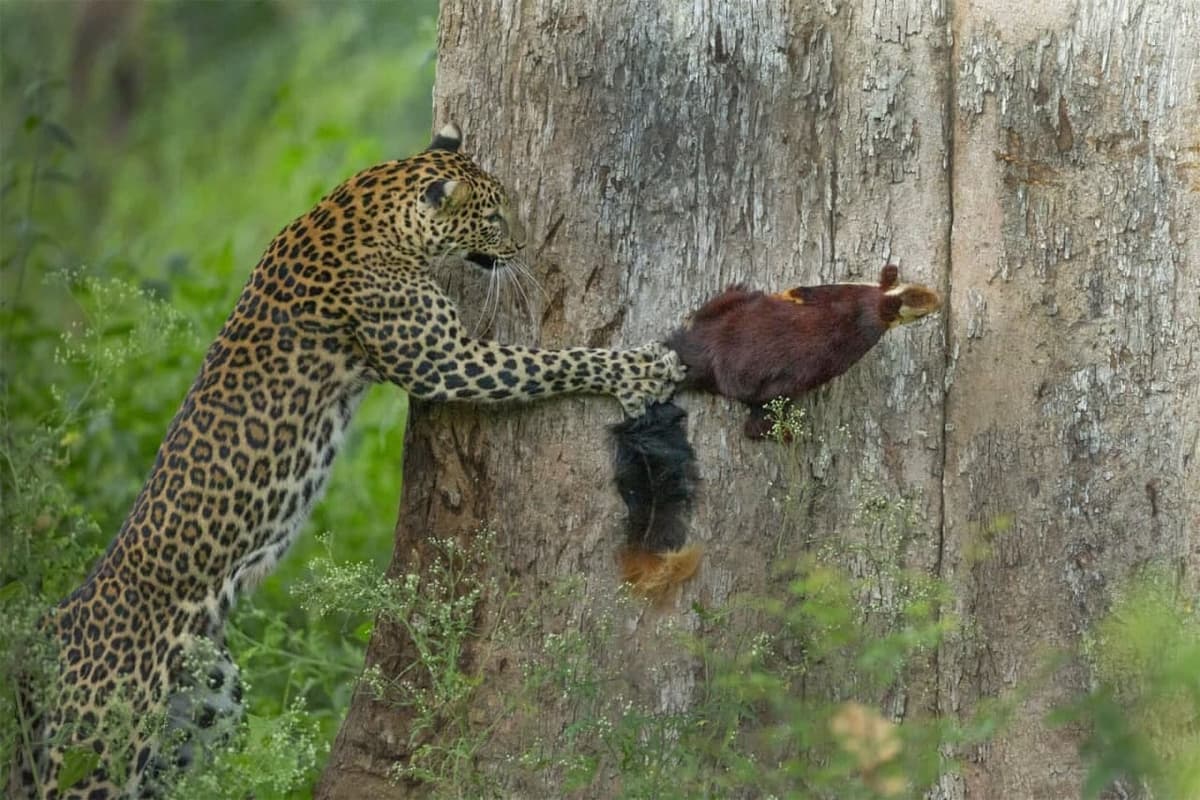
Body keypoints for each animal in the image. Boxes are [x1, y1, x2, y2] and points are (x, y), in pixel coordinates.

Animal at [12, 123, 684, 799]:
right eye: (495, 216)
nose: (521, 244)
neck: (376, 205)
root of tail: (48, 634)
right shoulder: (448, 361)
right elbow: (552, 362)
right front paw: (641, 369)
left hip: (207, 704)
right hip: (98, 752)